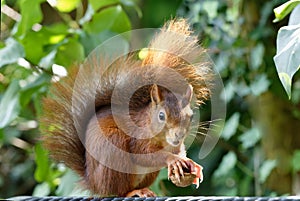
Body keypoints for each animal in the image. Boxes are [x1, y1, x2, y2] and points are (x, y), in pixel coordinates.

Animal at [39, 18, 212, 196]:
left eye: (190, 116)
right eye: (161, 116)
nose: (179, 135)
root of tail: (93, 183)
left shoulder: (175, 145)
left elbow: (179, 150)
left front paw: (189, 162)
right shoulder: (138, 137)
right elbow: (143, 155)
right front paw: (173, 160)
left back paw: (144, 190)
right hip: (114, 151)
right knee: (119, 191)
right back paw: (133, 192)